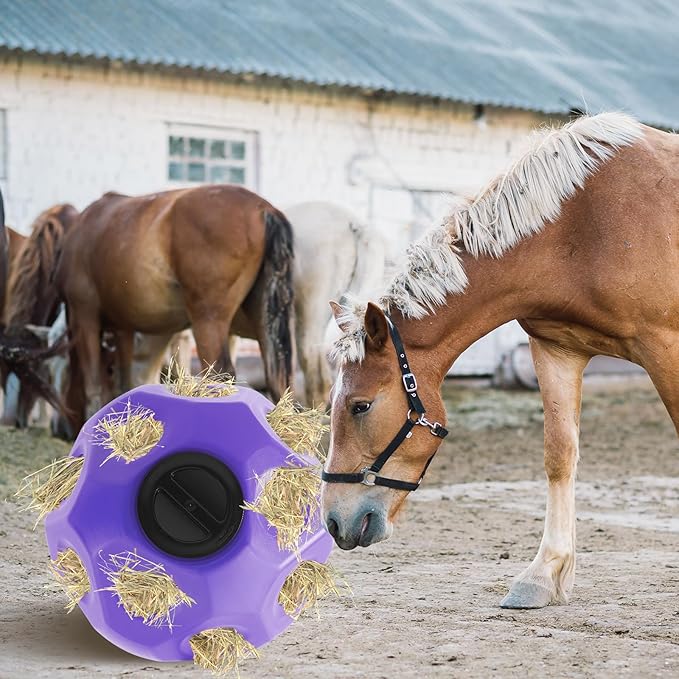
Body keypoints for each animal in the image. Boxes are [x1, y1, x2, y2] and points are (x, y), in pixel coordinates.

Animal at [55, 185, 294, 429]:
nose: (62, 428)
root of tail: (263, 209)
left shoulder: (84, 317)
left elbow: (92, 385)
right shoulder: (124, 328)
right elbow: (124, 383)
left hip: (208, 321)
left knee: (221, 374)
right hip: (263, 321)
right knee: (277, 380)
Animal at [321, 111, 679, 610]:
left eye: (361, 406)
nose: (335, 522)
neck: (585, 226)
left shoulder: (664, 346)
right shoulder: (556, 349)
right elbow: (559, 456)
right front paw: (542, 574)